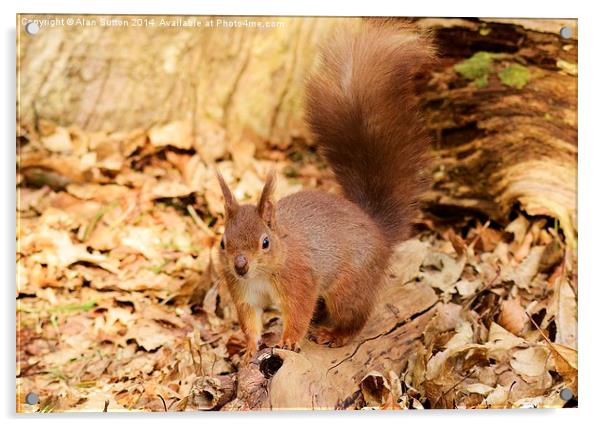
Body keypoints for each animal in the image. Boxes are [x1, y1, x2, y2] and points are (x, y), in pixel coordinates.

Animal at [216, 21, 432, 362]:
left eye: (265, 242)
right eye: (223, 242)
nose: (240, 266)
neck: (262, 273)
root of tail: (379, 233)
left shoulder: (300, 281)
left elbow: (299, 312)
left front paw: (290, 340)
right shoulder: (243, 293)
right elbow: (250, 321)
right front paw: (249, 347)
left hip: (348, 286)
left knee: (355, 316)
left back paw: (335, 333)